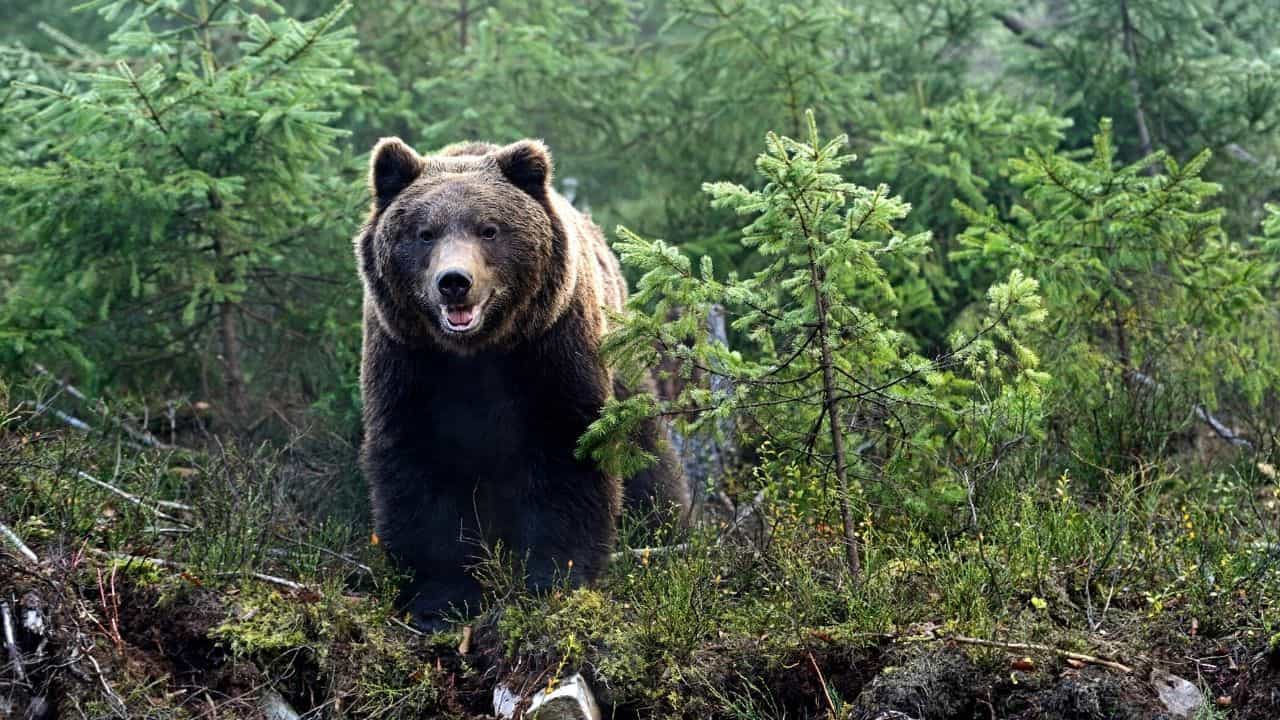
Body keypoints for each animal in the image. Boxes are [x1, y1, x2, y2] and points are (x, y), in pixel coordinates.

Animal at [355, 137, 690, 630]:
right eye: (424, 233)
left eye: (488, 229)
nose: (454, 282)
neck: (476, 352)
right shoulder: (409, 363)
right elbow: (420, 471)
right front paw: (440, 600)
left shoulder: (550, 351)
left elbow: (567, 455)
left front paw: (553, 580)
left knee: (647, 453)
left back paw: (665, 529)